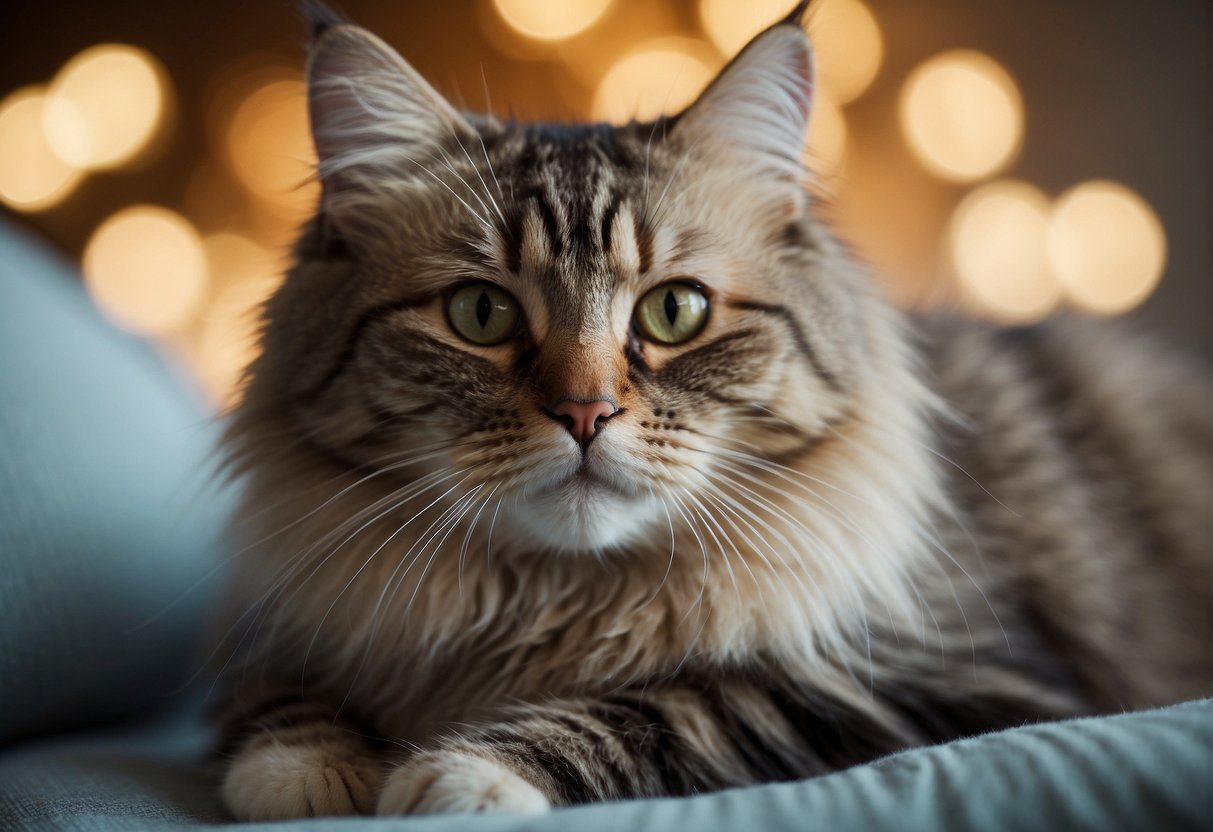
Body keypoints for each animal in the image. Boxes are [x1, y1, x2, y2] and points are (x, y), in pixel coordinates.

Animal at [211, 0, 1213, 819]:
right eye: (480, 314)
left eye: (675, 311)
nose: (584, 411)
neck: (550, 605)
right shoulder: (289, 622)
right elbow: (269, 697)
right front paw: (308, 773)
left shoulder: (954, 680)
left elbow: (679, 707)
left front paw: (458, 774)